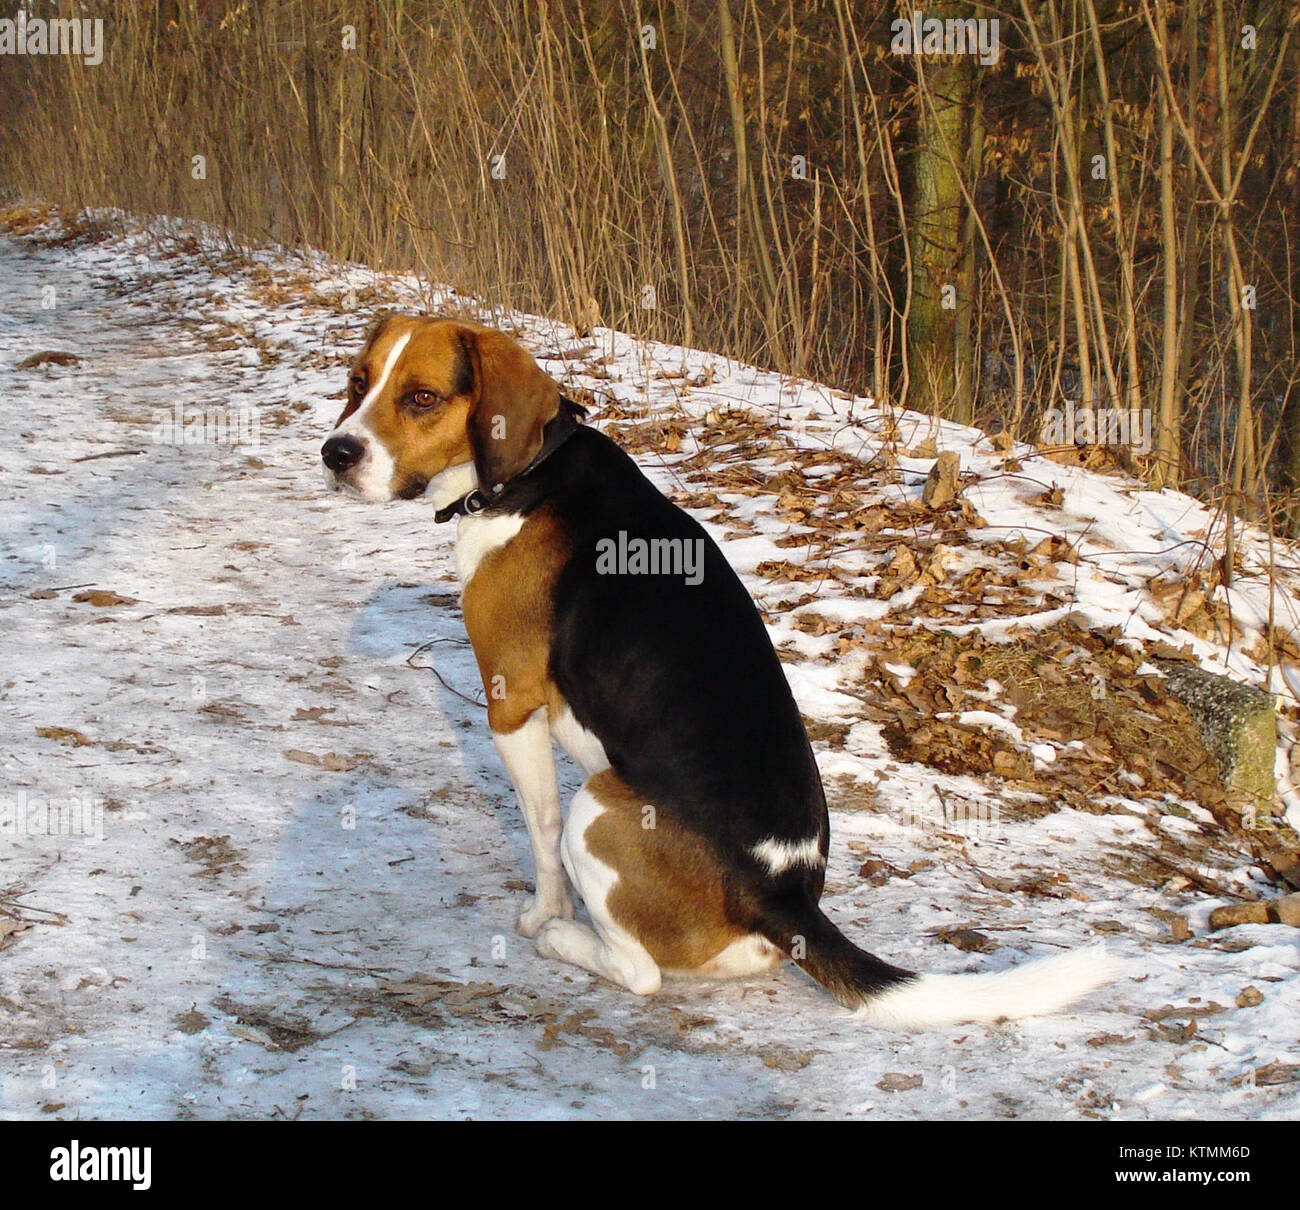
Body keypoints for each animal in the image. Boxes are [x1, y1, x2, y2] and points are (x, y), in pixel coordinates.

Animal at [322, 314, 1118, 1029]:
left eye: (422, 397)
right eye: (359, 383)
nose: (335, 452)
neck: (530, 474)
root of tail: (785, 896)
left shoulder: (511, 703)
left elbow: (539, 831)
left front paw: (541, 912)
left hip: (601, 807)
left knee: (639, 970)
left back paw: (565, 938)